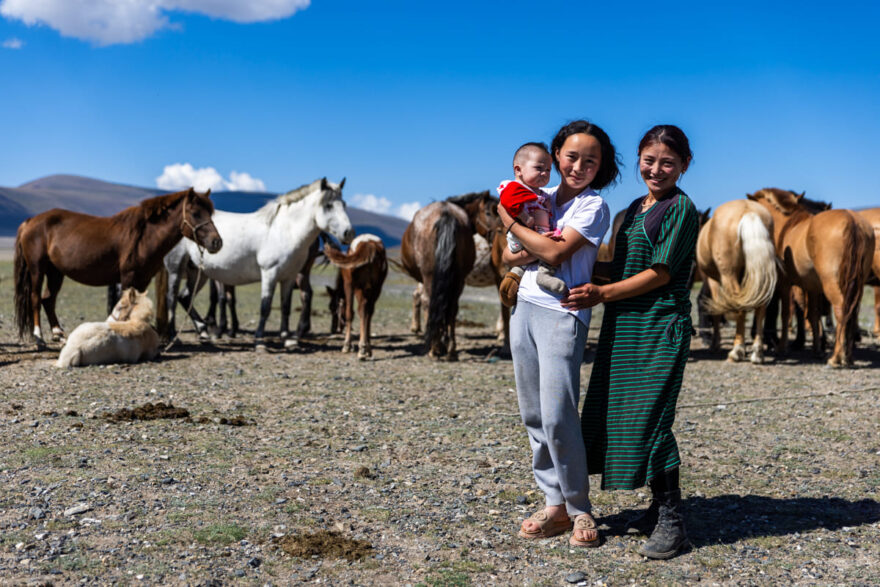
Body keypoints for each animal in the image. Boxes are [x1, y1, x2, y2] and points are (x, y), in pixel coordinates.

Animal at [14, 188, 222, 346]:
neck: (145, 236)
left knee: (48, 300)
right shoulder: (128, 277)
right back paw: (39, 338)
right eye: (195, 213)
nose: (217, 242)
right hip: (37, 269)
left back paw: (58, 334)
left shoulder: (143, 279)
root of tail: (30, 221)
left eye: (210, 213)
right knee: (35, 298)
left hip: (55, 272)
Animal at [160, 177, 352, 352]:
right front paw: (259, 342)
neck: (284, 231)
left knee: (184, 297)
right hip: (177, 269)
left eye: (343, 204)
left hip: (199, 273)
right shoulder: (269, 274)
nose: (348, 233)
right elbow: (265, 307)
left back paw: (203, 331)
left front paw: (287, 339)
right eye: (328, 205)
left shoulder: (289, 277)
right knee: (172, 299)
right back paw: (175, 337)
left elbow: (285, 307)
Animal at [402, 200, 478, 360]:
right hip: (459, 279)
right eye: (489, 212)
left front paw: (438, 343)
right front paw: (444, 343)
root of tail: (445, 212)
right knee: (452, 307)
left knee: (428, 302)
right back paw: (451, 350)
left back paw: (434, 349)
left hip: (429, 275)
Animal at [696, 200, 776, 362]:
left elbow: (717, 311)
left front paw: (715, 344)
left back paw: (737, 350)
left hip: (729, 276)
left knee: (739, 308)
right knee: (760, 308)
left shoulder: (713, 280)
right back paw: (757, 353)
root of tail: (748, 211)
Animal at [744, 188, 876, 366]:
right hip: (857, 285)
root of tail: (852, 221)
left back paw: (836, 357)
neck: (788, 225)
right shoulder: (813, 288)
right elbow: (813, 315)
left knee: (841, 310)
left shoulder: (785, 284)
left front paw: (781, 347)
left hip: (832, 283)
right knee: (852, 314)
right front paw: (817, 349)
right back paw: (847, 357)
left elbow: (785, 314)